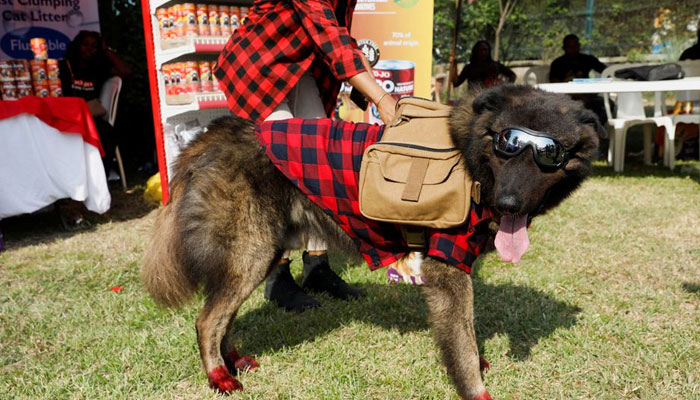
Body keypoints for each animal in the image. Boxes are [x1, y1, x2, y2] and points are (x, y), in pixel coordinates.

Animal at [142, 85, 600, 400]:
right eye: (506, 143)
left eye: (549, 154)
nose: (507, 203)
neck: (471, 162)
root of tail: (216, 133)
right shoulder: (448, 271)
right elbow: (464, 345)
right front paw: (477, 388)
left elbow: (468, 333)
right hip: (250, 255)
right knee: (207, 320)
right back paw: (218, 376)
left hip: (260, 254)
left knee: (224, 315)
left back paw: (233, 360)